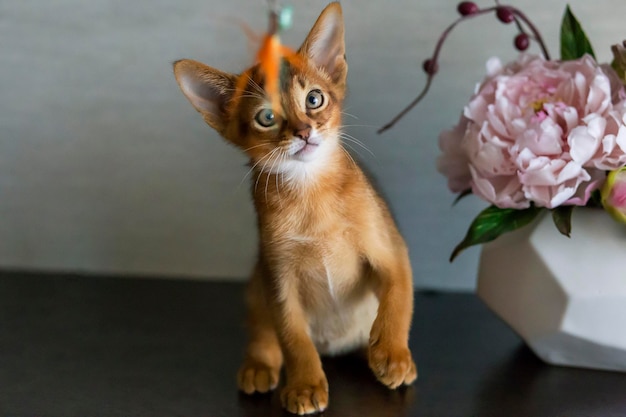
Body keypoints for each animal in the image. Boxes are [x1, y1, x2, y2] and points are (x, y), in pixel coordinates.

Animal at [172, 2, 414, 412]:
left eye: (314, 99)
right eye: (266, 117)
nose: (303, 132)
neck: (310, 194)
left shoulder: (390, 251)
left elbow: (398, 299)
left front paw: (394, 354)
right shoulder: (278, 278)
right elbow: (292, 337)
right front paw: (304, 385)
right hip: (257, 284)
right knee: (262, 333)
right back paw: (258, 366)